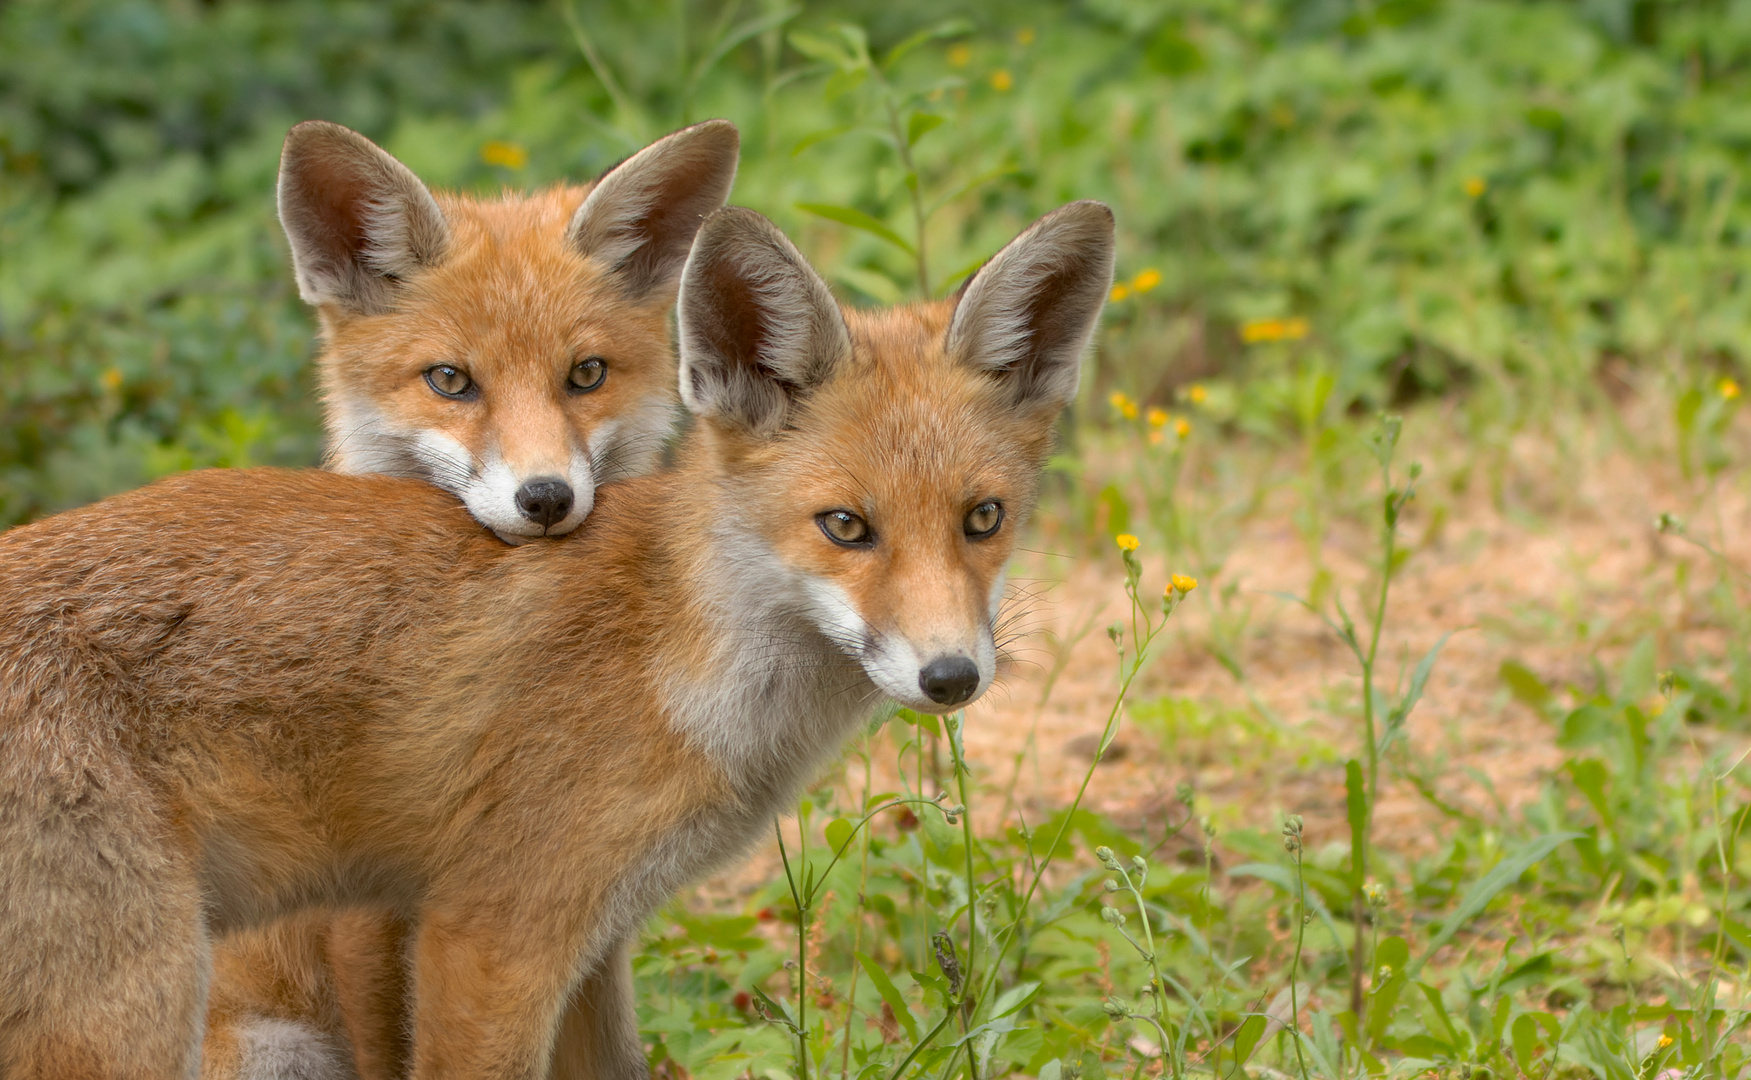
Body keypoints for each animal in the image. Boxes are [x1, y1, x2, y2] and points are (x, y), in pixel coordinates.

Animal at [0, 197, 1113, 1071]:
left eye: (983, 519)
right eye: (845, 527)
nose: (950, 676)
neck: (673, 660)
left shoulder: (595, 943)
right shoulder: (493, 935)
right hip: (143, 1008)